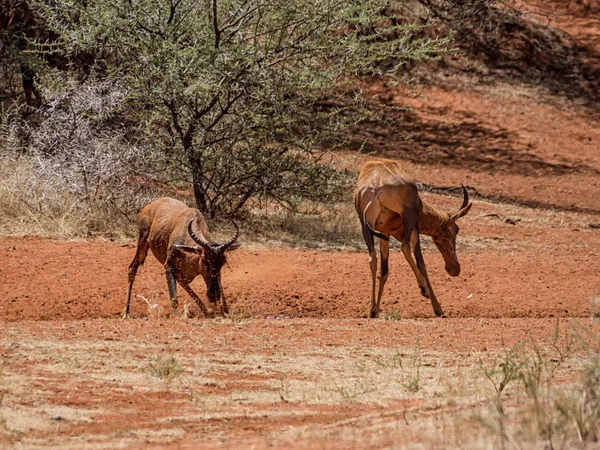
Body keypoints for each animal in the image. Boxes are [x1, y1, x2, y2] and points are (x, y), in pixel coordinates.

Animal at [352, 160, 474, 318]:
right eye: (456, 230)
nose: (454, 268)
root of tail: (376, 185)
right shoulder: (415, 229)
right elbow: (421, 263)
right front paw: (438, 309)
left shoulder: (384, 234)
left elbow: (384, 271)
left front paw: (376, 310)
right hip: (408, 217)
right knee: (405, 248)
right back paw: (424, 289)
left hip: (365, 225)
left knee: (372, 257)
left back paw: (372, 309)